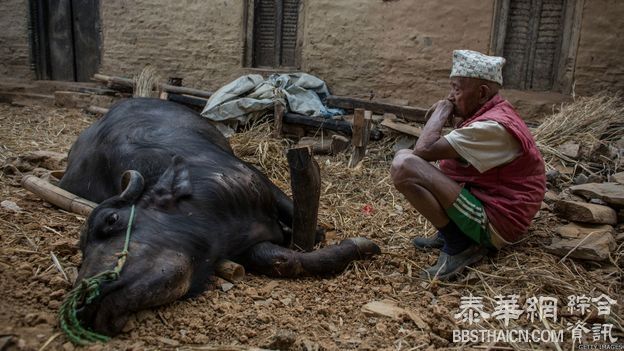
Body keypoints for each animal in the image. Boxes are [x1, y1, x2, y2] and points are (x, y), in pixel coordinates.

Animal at [59, 98, 380, 336]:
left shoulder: (261, 184)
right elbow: (283, 260)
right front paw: (360, 246)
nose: (81, 302)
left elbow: (300, 230)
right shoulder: (244, 247)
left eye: (111, 220)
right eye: (82, 250)